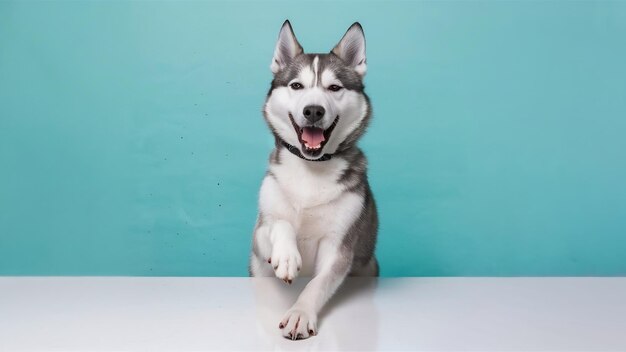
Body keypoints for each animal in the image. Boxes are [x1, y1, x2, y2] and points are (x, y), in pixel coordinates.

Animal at [247, 20, 376, 340]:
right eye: (296, 86)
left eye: (334, 87)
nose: (314, 110)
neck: (310, 168)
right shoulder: (260, 233)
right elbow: (279, 225)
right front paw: (287, 257)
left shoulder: (339, 245)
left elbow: (318, 283)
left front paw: (300, 314)